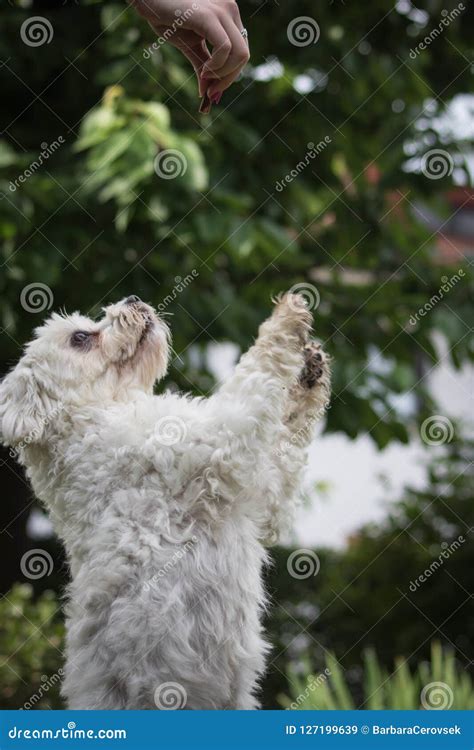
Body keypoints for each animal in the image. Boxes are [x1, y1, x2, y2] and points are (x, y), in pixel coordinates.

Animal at [0, 294, 330, 712]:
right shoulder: (220, 442)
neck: (92, 416)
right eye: (80, 338)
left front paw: (309, 370)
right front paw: (286, 318)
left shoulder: (263, 496)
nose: (133, 299)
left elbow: (288, 439)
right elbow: (257, 372)